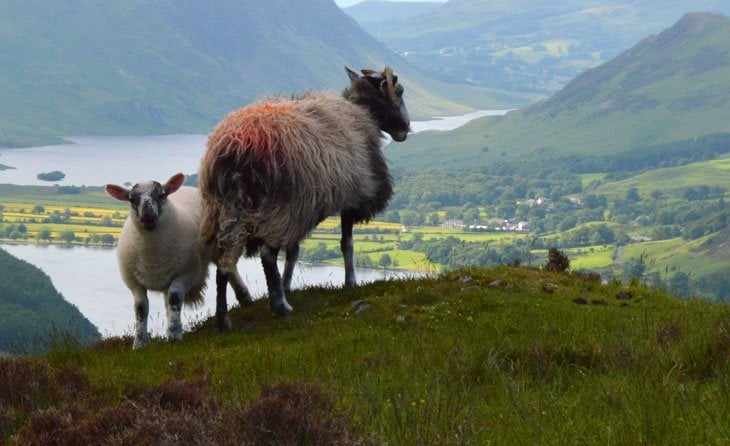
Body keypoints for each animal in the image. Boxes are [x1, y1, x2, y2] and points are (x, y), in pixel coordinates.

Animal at [104, 172, 253, 348]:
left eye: (162, 195)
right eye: (132, 199)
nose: (148, 218)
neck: (152, 254)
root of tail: (189, 187)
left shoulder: (186, 274)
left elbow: (174, 299)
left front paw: (174, 335)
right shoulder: (133, 282)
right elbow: (141, 308)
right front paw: (140, 343)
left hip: (219, 246)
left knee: (228, 269)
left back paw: (245, 298)